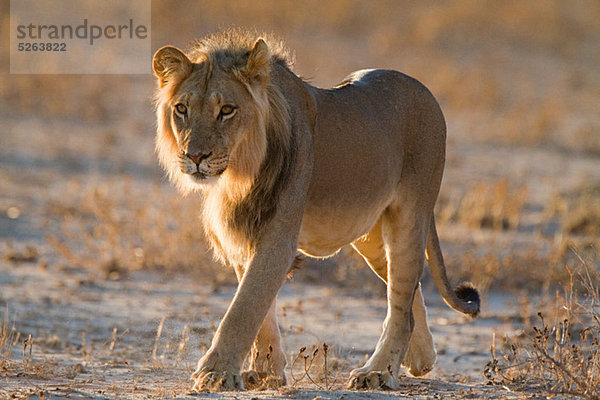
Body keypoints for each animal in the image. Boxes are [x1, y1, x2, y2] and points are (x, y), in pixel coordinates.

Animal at [152, 30, 480, 390]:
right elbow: (260, 311)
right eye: (181, 109)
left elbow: (244, 307)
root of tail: (423, 89)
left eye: (226, 110)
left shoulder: (278, 237)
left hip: (410, 216)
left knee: (402, 303)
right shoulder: (242, 235)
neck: (237, 174)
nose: (195, 156)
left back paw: (377, 372)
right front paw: (265, 372)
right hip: (369, 236)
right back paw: (420, 359)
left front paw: (217, 373)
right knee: (408, 295)